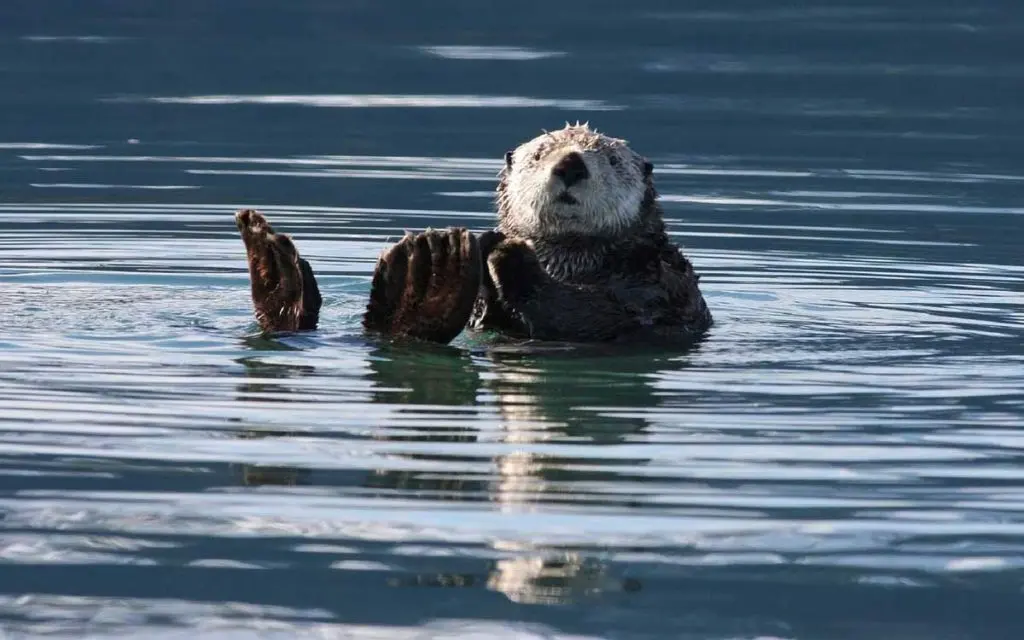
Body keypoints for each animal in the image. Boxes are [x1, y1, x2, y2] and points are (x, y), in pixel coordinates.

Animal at [233, 124, 712, 344]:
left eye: (611, 160)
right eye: (539, 154)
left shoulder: (659, 284)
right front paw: (495, 242)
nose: (571, 164)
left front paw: (510, 252)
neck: (569, 261)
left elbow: (599, 316)